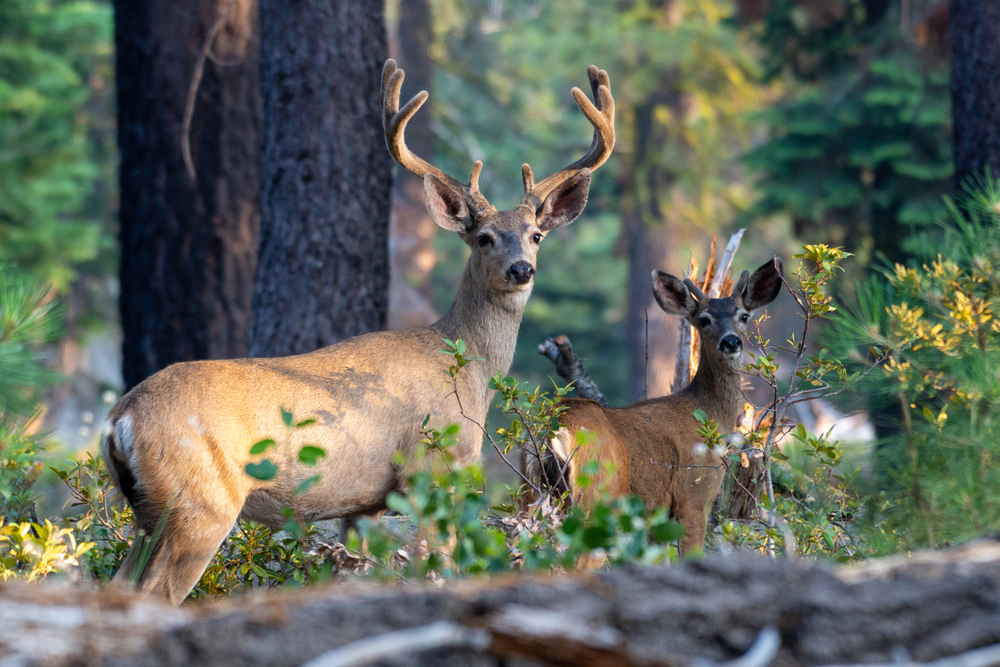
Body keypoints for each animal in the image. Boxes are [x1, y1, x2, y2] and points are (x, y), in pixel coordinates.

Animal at [103, 60, 616, 604]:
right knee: (156, 592)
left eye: (536, 235)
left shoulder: (363, 505)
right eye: (484, 238)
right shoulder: (431, 470)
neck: (468, 371)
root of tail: (120, 418)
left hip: (149, 513)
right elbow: (438, 566)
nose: (522, 269)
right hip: (199, 504)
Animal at [524, 258, 780, 556]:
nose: (731, 341)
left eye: (744, 316)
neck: (708, 416)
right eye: (704, 320)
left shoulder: (657, 515)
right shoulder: (693, 497)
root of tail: (554, 431)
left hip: (533, 492)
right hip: (595, 491)